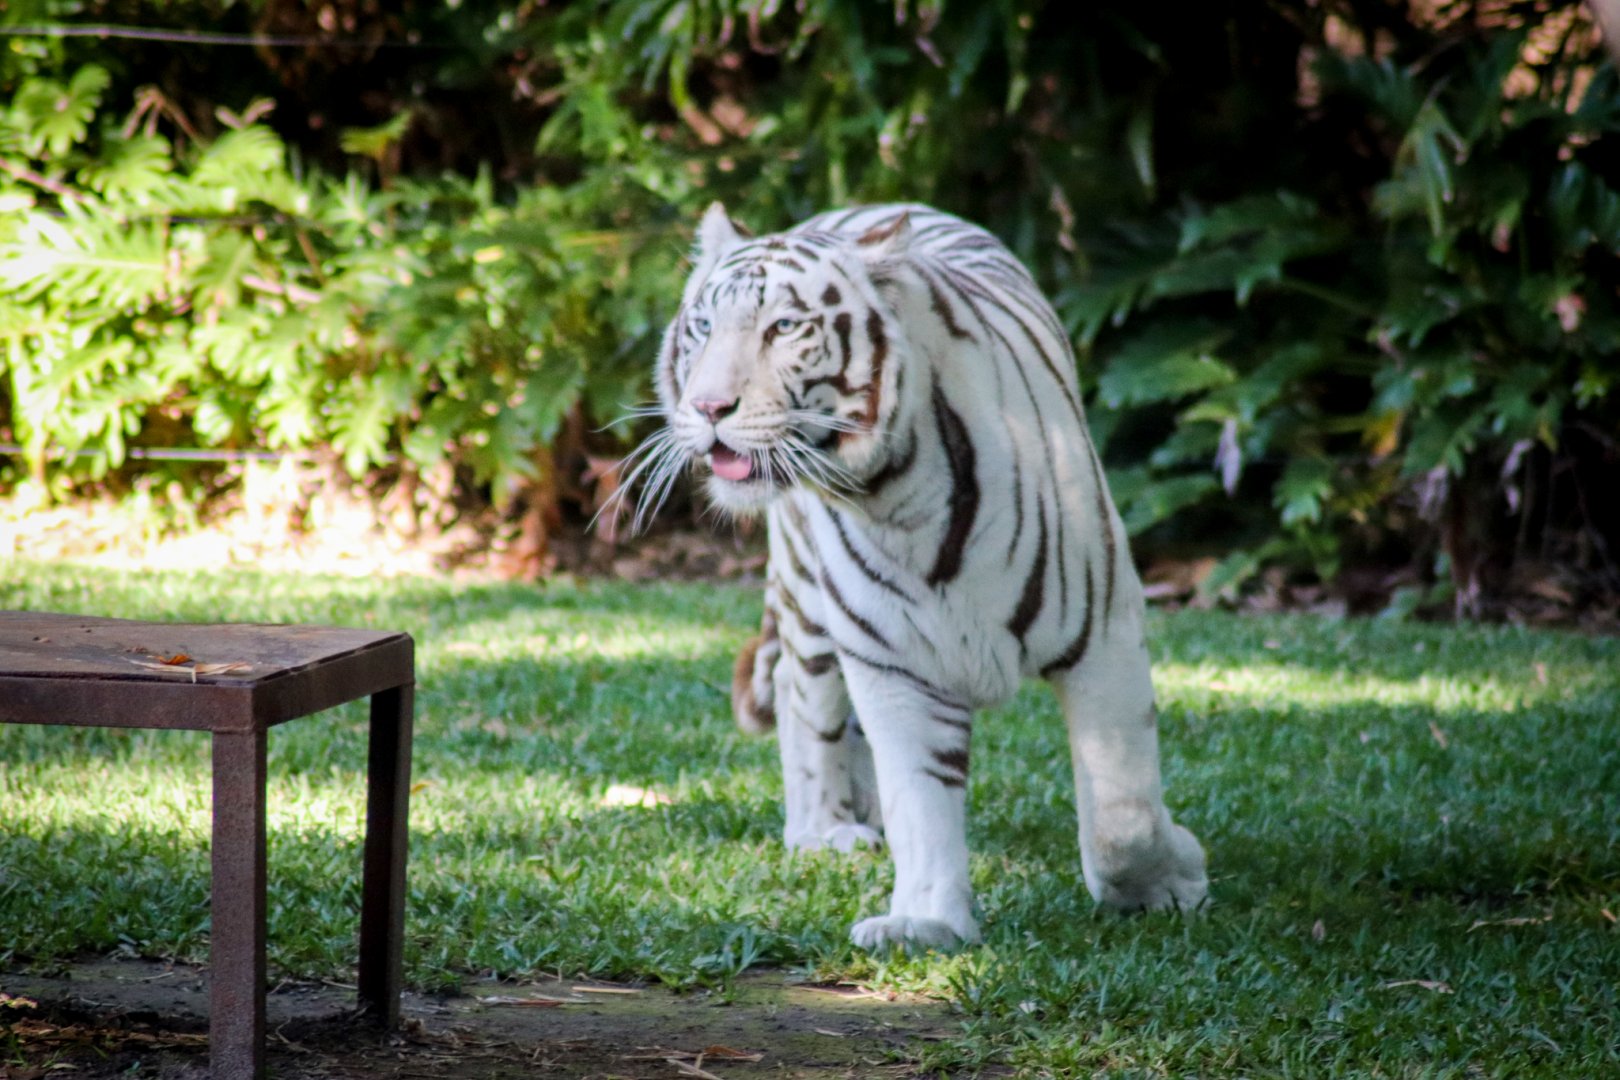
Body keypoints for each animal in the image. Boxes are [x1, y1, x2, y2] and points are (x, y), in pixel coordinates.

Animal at [641, 201, 1209, 949]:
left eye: (784, 327)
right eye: (704, 326)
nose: (708, 408)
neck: (894, 497)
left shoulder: (1103, 632)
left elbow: (1124, 814)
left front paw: (1169, 880)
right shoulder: (893, 661)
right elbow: (921, 799)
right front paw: (929, 919)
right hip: (808, 599)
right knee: (802, 691)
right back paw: (823, 829)